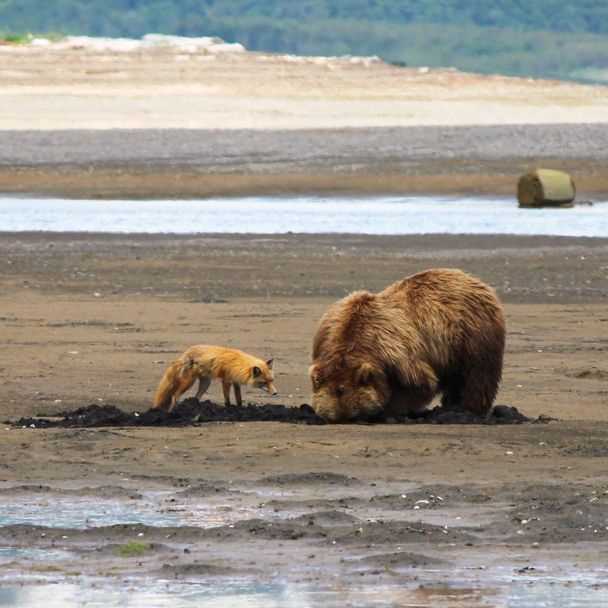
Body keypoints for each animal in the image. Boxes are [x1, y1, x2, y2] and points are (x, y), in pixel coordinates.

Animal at [312, 268, 506, 420]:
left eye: (355, 414)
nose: (348, 418)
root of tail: (474, 280)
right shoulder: (323, 337)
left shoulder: (396, 352)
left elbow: (418, 383)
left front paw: (388, 408)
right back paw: (451, 404)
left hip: (473, 334)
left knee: (478, 374)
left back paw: (468, 408)